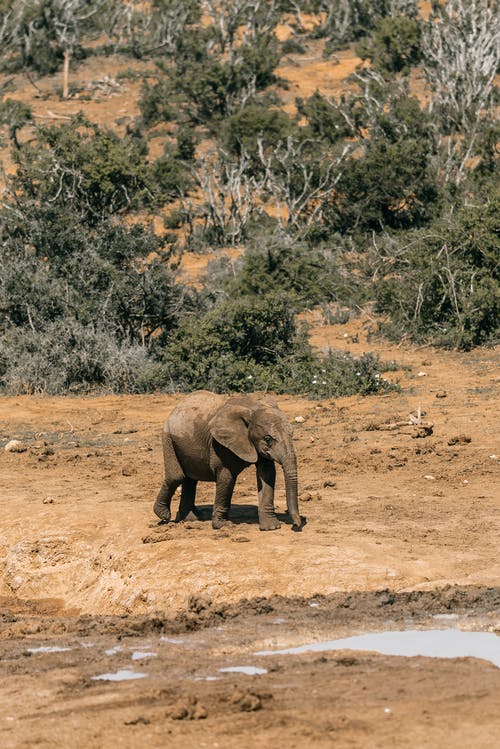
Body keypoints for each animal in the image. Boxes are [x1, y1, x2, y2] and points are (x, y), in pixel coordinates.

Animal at [152, 388, 300, 528]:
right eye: (268, 439)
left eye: (292, 434)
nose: (296, 524)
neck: (253, 407)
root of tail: (176, 408)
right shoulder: (219, 444)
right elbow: (226, 477)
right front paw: (223, 525)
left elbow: (267, 474)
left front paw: (271, 527)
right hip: (168, 438)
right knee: (176, 477)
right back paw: (164, 515)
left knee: (190, 479)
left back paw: (191, 518)